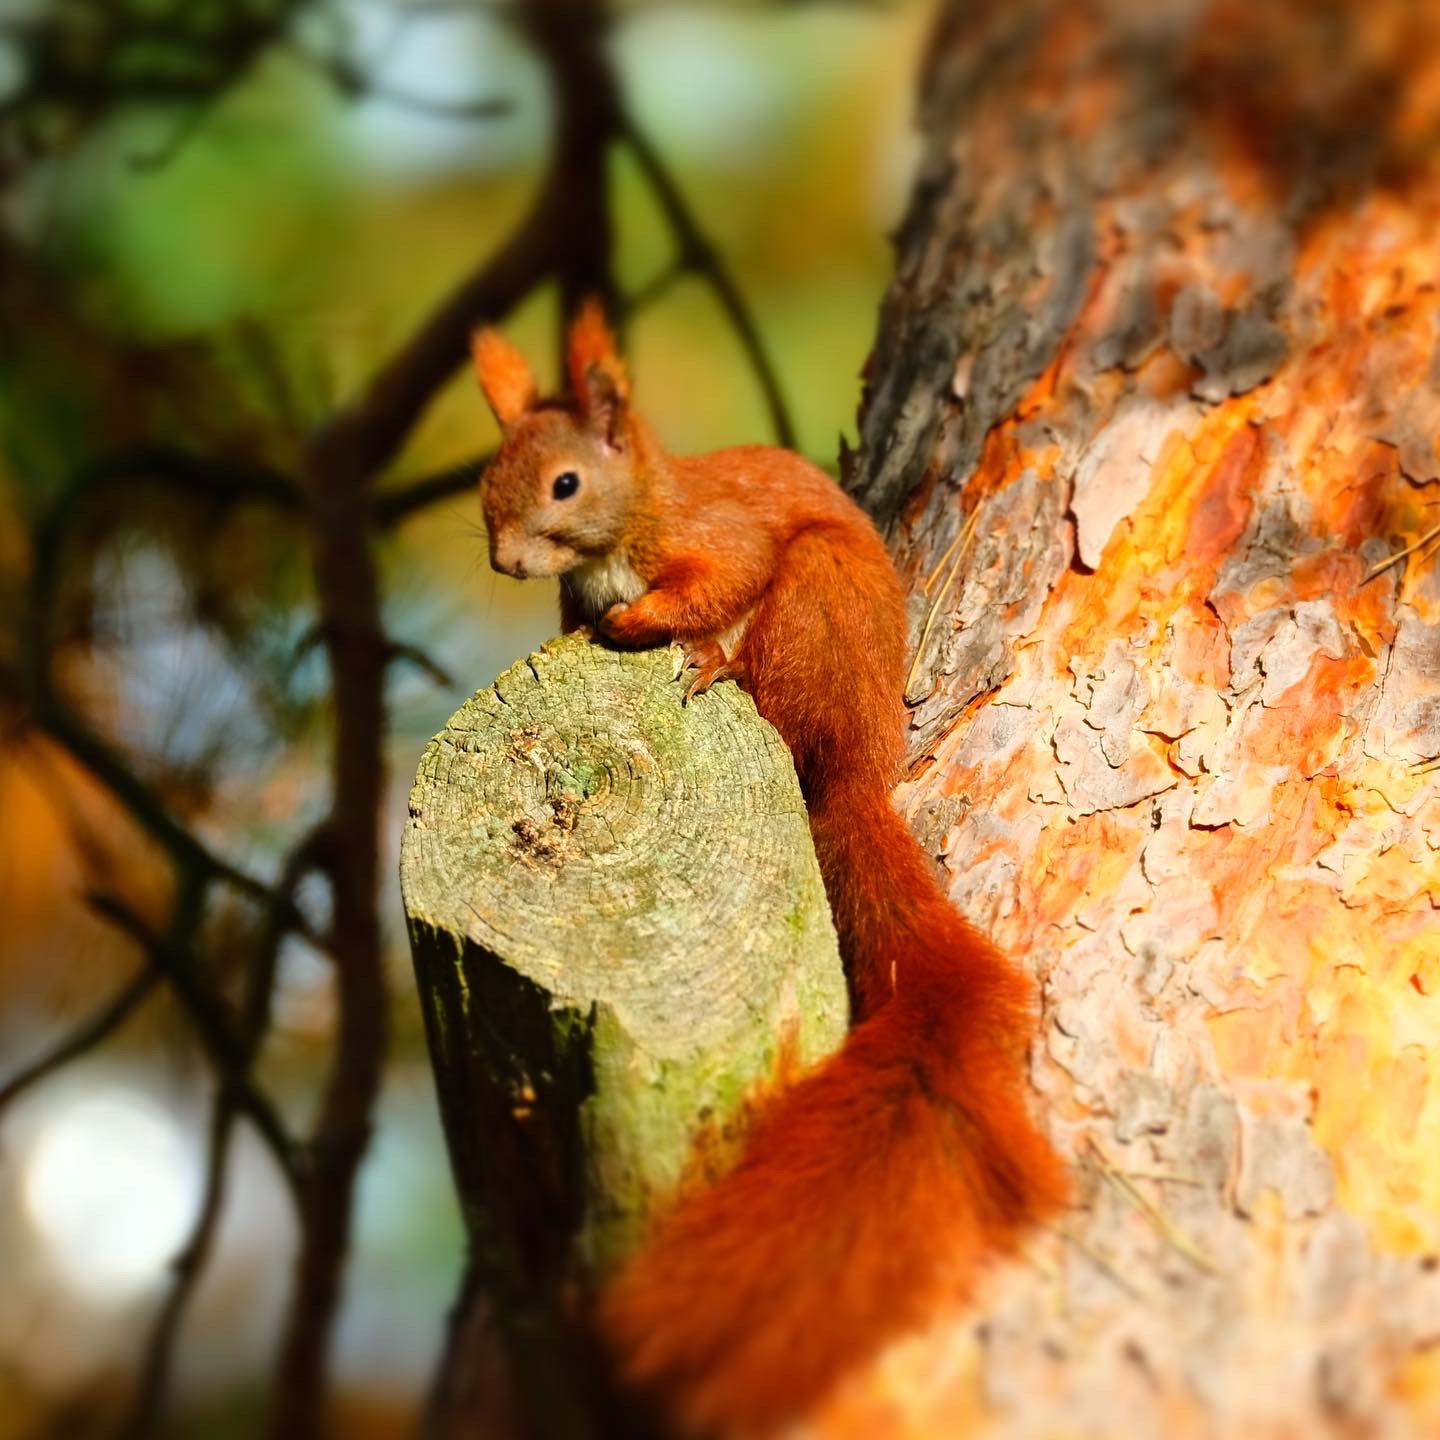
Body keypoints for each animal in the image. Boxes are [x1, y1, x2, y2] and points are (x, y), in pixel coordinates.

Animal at [472, 300, 1071, 1428]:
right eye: (488, 479)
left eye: (565, 484)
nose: (505, 565)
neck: (631, 521)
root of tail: (860, 773)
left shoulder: (719, 540)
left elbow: (720, 577)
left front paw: (642, 621)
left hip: (813, 610)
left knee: (777, 691)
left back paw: (720, 666)